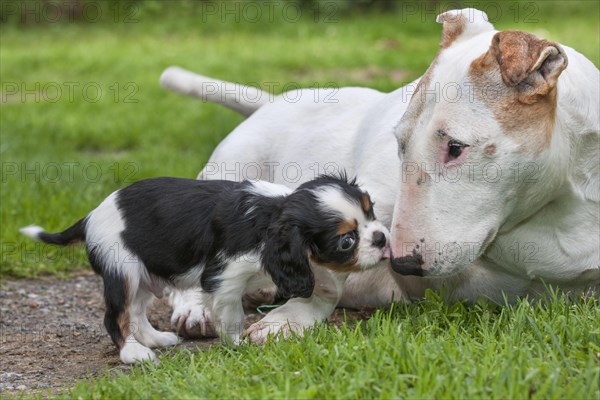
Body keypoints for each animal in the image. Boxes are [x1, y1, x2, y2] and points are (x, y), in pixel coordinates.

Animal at [19, 174, 390, 362]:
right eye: (346, 241)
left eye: (371, 211)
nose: (383, 237)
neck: (274, 214)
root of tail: (89, 217)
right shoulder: (225, 277)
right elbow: (232, 315)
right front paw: (238, 343)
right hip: (122, 271)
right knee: (116, 317)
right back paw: (133, 353)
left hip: (142, 274)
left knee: (136, 312)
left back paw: (155, 339)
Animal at [161, 7, 600, 342]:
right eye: (400, 142)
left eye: (456, 147)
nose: (402, 264)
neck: (557, 208)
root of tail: (272, 103)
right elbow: (325, 278)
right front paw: (287, 320)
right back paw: (197, 308)